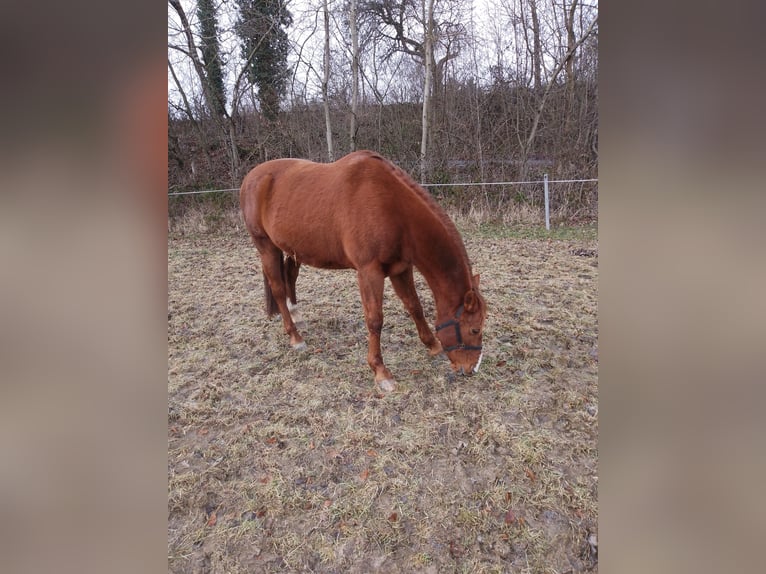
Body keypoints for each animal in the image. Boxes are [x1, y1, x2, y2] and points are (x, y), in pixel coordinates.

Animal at [239, 150, 486, 390]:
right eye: (475, 330)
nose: (471, 369)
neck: (393, 207)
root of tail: (251, 177)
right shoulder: (369, 273)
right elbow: (375, 320)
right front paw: (381, 372)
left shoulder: (400, 269)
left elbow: (414, 306)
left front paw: (433, 345)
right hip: (266, 247)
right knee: (278, 289)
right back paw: (295, 336)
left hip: (292, 249)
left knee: (290, 276)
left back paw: (296, 315)